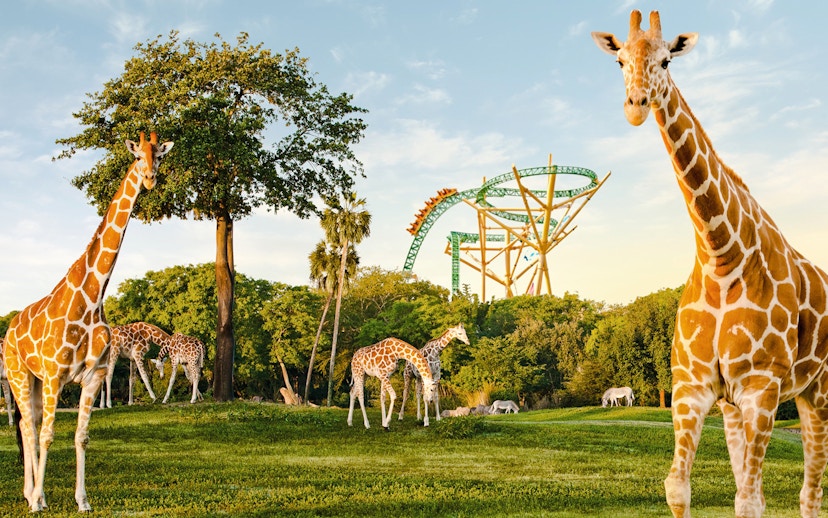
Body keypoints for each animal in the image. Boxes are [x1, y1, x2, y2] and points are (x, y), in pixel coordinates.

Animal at [2, 131, 172, 512]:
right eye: (137, 155)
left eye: (159, 156)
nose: (150, 178)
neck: (92, 300)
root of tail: (9, 328)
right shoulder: (55, 374)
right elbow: (48, 435)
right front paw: (40, 501)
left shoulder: (92, 376)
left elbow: (81, 437)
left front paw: (82, 500)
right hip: (19, 373)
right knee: (29, 428)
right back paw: (33, 496)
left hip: (35, 381)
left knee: (28, 423)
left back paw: (32, 492)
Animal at [593, 11, 828, 518]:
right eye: (619, 60)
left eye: (667, 60)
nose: (636, 106)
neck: (722, 257)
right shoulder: (694, 388)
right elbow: (678, 486)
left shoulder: (762, 386)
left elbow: (750, 498)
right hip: (742, 405)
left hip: (816, 388)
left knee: (810, 493)